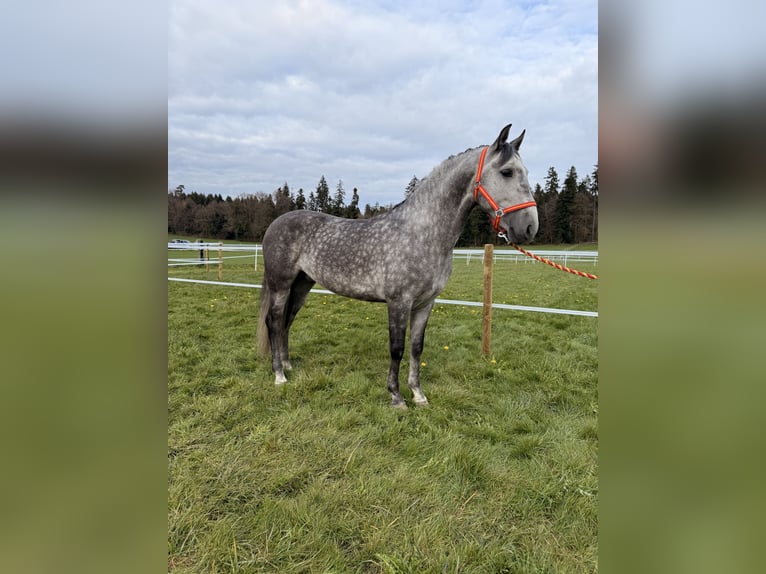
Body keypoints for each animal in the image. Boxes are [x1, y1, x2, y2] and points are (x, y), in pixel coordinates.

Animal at [257, 124, 538, 408]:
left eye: (525, 172)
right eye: (507, 172)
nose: (529, 227)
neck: (421, 233)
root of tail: (276, 223)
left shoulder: (425, 303)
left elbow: (416, 347)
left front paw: (418, 394)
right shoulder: (399, 302)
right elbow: (397, 348)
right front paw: (396, 396)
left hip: (302, 284)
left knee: (287, 321)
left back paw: (287, 365)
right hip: (281, 285)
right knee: (274, 321)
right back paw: (279, 375)